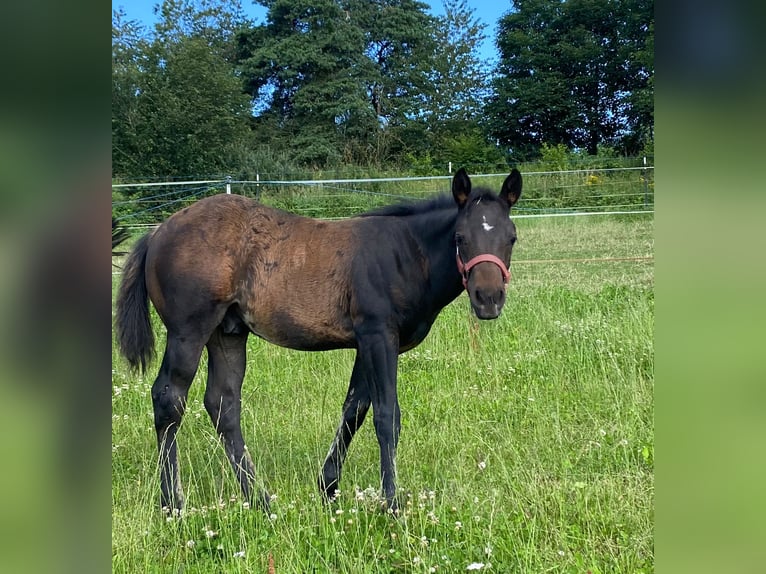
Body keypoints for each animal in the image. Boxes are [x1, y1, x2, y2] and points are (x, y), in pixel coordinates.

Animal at [115, 169, 520, 516]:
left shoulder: (366, 343)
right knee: (169, 398)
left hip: (227, 333)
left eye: (511, 238)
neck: (405, 254)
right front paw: (392, 503)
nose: (488, 298)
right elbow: (386, 416)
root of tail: (157, 232)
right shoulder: (378, 336)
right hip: (189, 330)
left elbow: (355, 409)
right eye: (460, 238)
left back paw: (259, 500)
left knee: (223, 405)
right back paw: (173, 504)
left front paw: (329, 488)